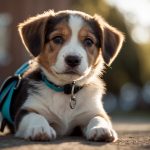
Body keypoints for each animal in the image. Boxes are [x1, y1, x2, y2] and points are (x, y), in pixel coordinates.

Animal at [2, 10, 124, 142]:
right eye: (57, 39)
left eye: (89, 41)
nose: (73, 59)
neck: (66, 90)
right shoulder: (25, 110)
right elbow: (35, 116)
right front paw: (40, 128)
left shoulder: (93, 111)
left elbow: (99, 118)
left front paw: (101, 128)